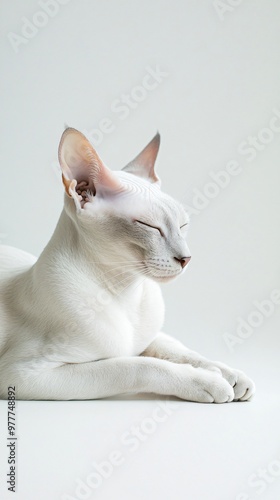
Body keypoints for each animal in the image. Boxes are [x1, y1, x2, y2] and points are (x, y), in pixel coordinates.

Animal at [0, 129, 255, 402]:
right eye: (150, 226)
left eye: (183, 226)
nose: (186, 258)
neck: (126, 292)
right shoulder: (22, 374)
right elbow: (136, 365)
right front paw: (209, 381)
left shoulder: (149, 338)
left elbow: (180, 350)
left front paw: (229, 374)